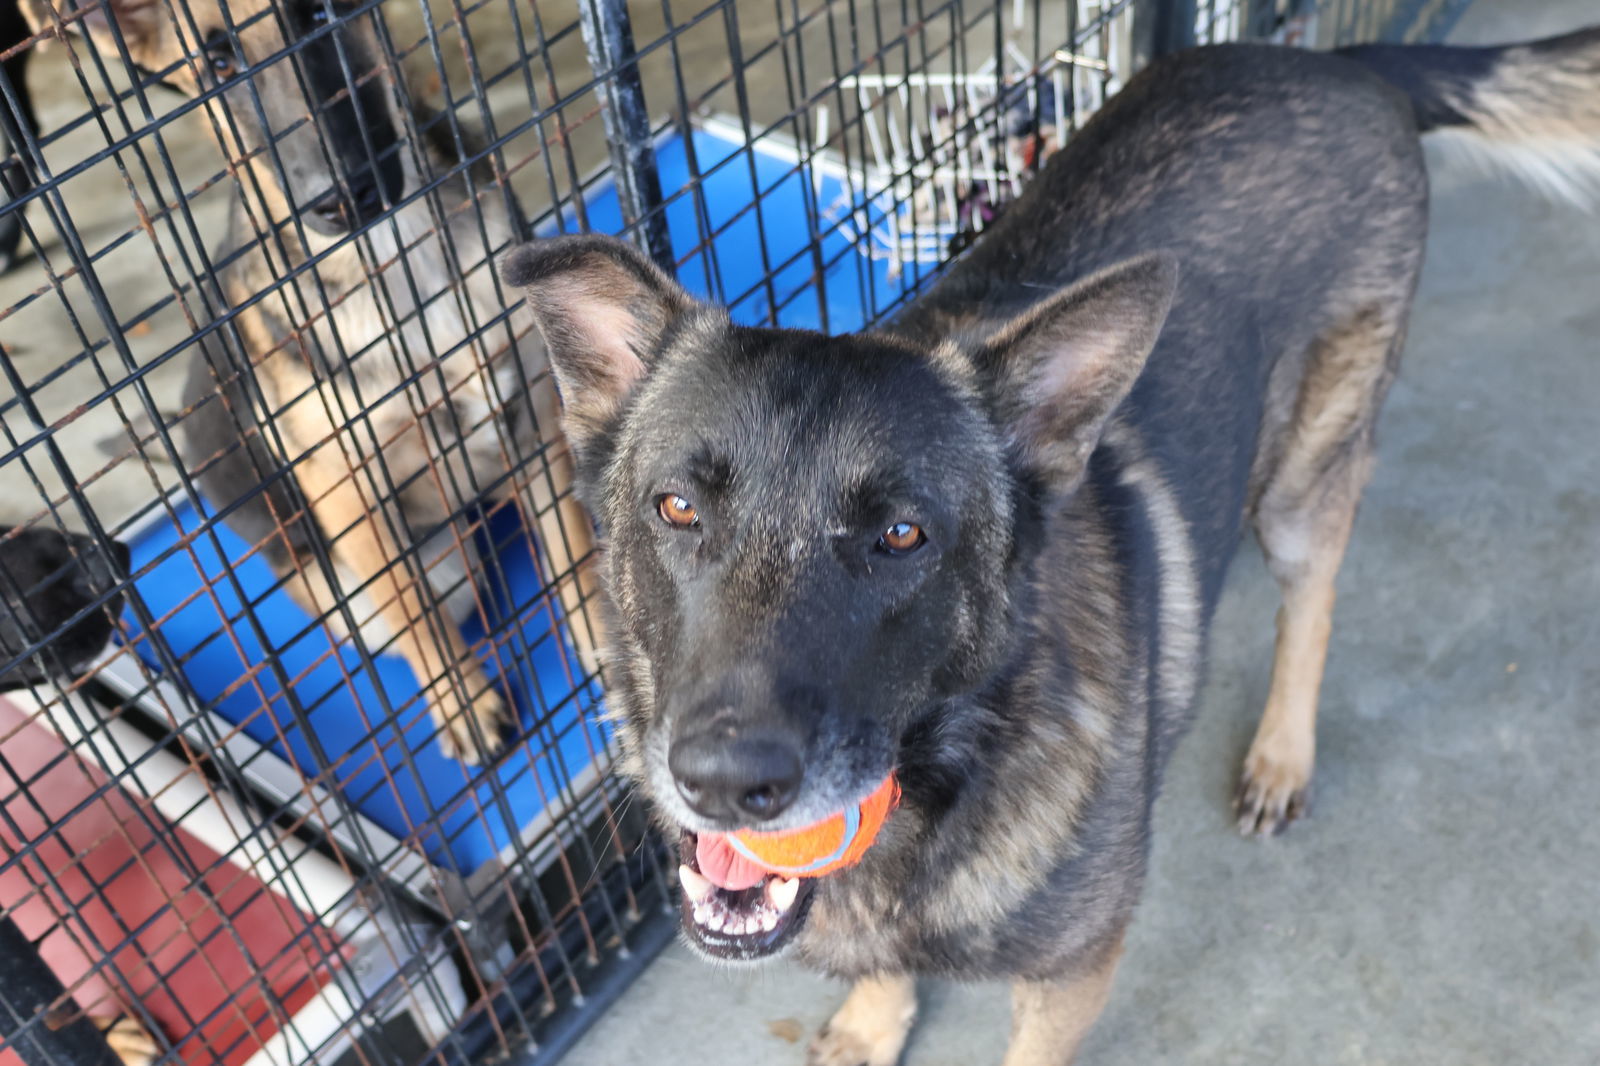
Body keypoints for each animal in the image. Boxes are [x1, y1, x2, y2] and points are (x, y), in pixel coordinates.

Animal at [28, 0, 601, 758]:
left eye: (324, 13)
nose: (339, 198)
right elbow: (414, 612)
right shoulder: (347, 490)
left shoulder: (534, 417)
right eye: (219, 63)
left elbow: (570, 547)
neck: (391, 259)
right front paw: (462, 705)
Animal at [502, 18, 1600, 1062]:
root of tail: (1348, 65)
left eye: (902, 534)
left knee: (1314, 597)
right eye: (678, 509)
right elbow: (884, 971)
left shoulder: (1075, 974)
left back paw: (1282, 755)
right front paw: (873, 1021)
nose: (727, 785)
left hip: (1303, 477)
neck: (953, 769)